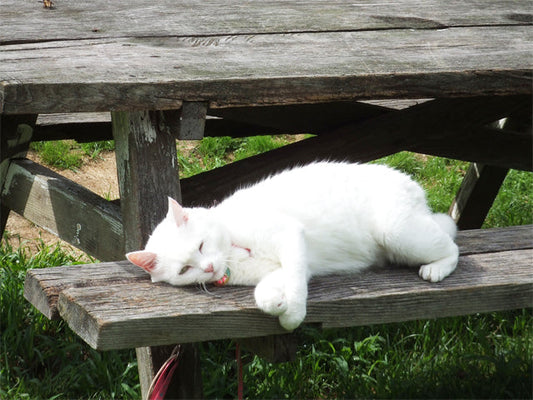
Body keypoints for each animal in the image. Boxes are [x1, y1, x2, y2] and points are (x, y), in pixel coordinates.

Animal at [124, 161, 458, 330]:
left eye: (202, 245)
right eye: (184, 269)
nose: (207, 267)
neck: (234, 253)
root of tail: (413, 187)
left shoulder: (290, 238)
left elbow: (295, 284)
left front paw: (292, 316)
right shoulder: (283, 267)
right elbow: (266, 291)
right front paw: (275, 303)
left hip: (396, 231)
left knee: (452, 245)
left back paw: (437, 269)